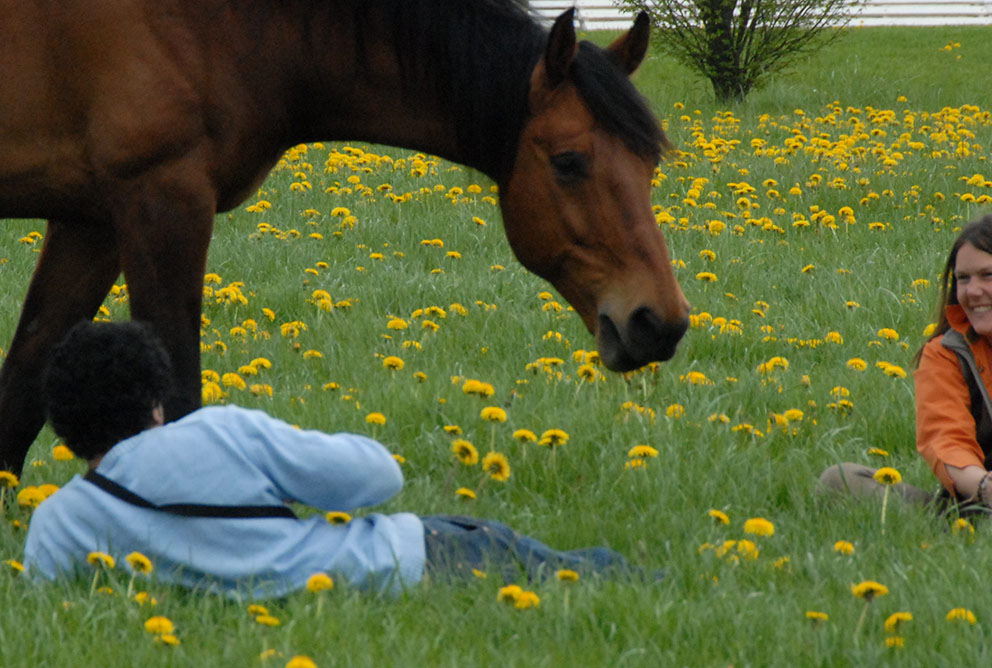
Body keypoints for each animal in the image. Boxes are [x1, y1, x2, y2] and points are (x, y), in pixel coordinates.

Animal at [0, 0, 690, 473]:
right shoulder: (161, 204)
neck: (220, 27)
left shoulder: (91, 225)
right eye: (569, 162)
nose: (660, 321)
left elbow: (22, 390)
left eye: (649, 163)